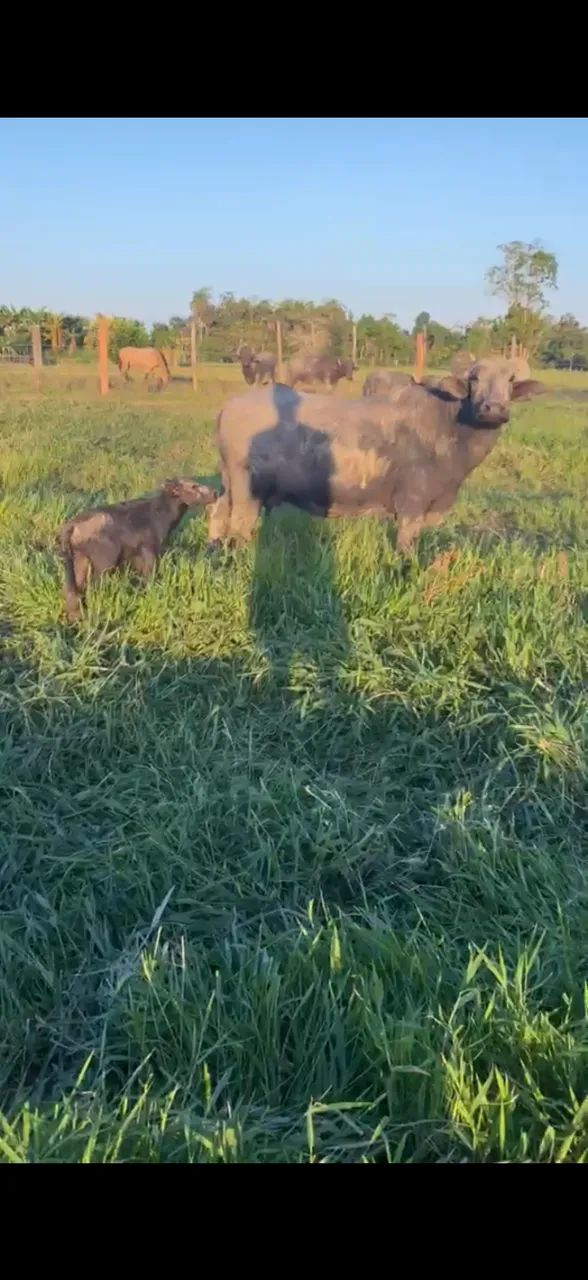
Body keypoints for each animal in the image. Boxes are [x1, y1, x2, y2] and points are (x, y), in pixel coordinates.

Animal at [206, 359, 545, 554]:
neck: (447, 422)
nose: (494, 409)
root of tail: (228, 407)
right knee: (237, 528)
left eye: (510, 381)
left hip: (229, 485)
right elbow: (406, 548)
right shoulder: (412, 503)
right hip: (247, 492)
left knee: (218, 516)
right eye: (474, 380)